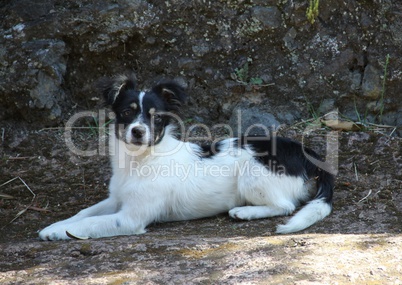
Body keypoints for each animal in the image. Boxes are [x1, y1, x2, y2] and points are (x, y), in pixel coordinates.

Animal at [38, 74, 332, 239]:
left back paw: (245, 212)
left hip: (253, 174)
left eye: (156, 117)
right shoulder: (116, 200)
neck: (140, 160)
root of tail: (307, 153)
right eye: (126, 112)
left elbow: (89, 223)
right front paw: (56, 225)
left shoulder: (131, 217)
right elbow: (83, 213)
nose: (137, 131)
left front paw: (57, 232)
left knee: (285, 206)